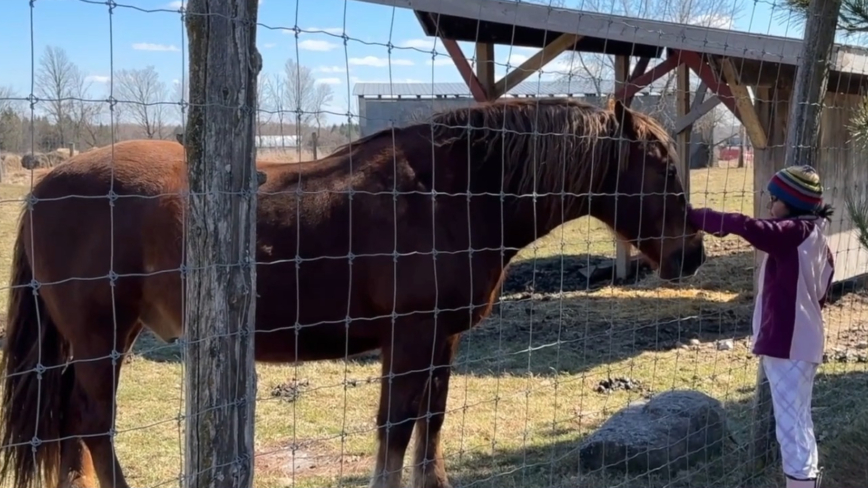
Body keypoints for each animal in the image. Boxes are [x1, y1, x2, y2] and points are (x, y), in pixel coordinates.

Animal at [0, 98, 704, 488]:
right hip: (100, 336)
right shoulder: (411, 334)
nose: (690, 254)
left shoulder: (440, 338)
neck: (451, 193)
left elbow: (429, 426)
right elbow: (395, 428)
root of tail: (44, 188)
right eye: (664, 167)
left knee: (67, 427)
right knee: (92, 423)